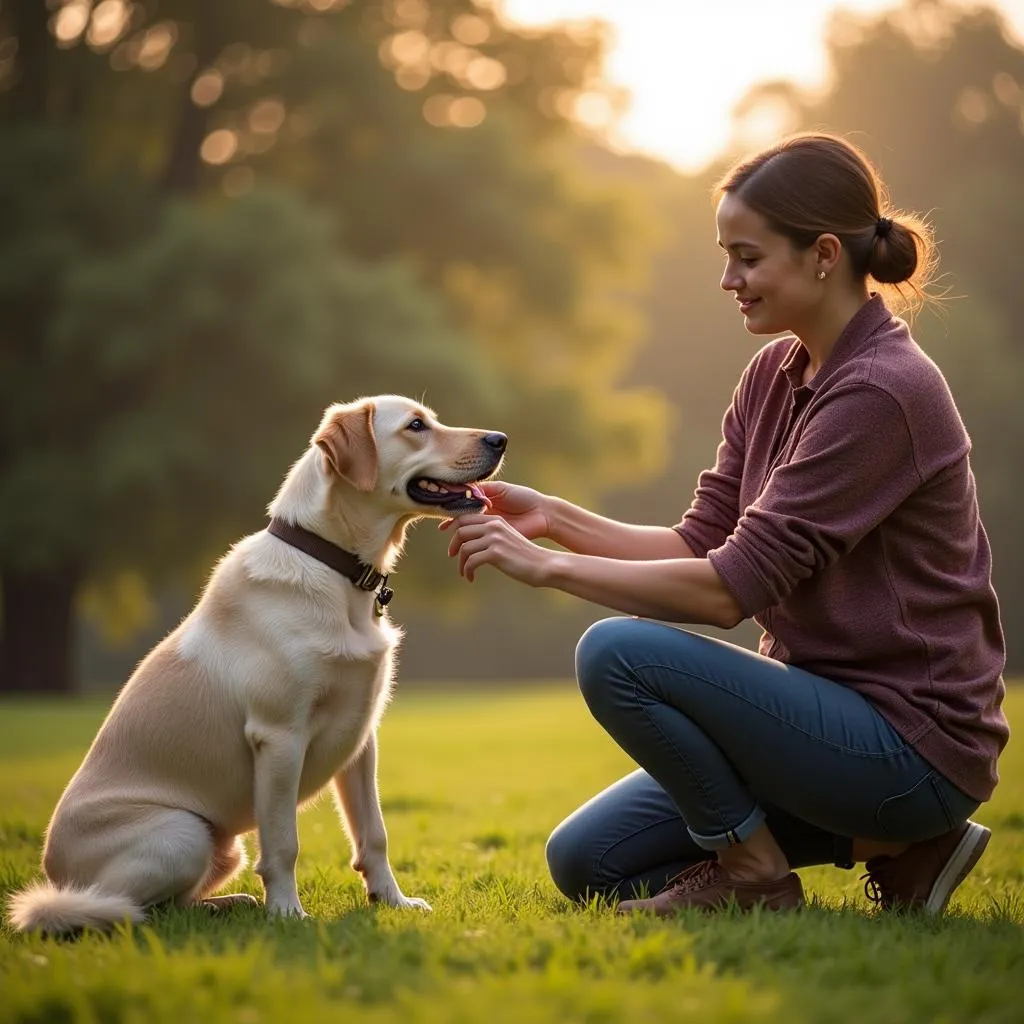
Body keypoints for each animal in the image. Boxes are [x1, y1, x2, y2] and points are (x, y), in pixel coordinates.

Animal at [8, 393, 503, 937]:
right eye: (416, 426)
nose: (500, 439)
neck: (336, 570)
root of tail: (55, 876)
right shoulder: (280, 736)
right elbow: (284, 844)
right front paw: (288, 914)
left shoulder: (361, 739)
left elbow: (374, 835)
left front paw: (392, 901)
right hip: (182, 832)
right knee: (126, 911)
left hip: (222, 848)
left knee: (172, 906)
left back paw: (228, 904)